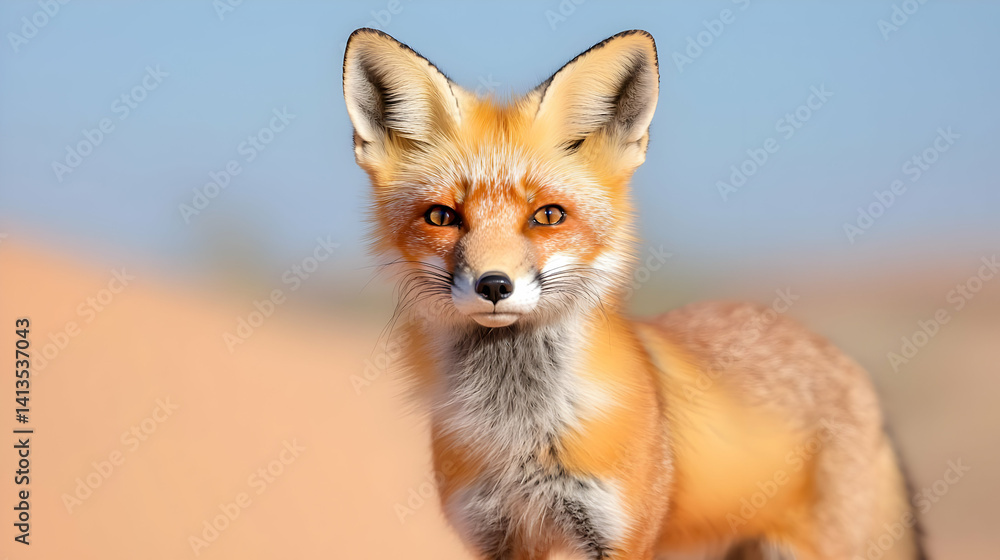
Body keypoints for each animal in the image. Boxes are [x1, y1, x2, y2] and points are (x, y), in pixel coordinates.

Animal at [343, 28, 927, 560]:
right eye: (442, 217)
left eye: (548, 216)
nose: (493, 285)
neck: (522, 434)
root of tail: (843, 363)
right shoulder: (498, 538)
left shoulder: (618, 536)